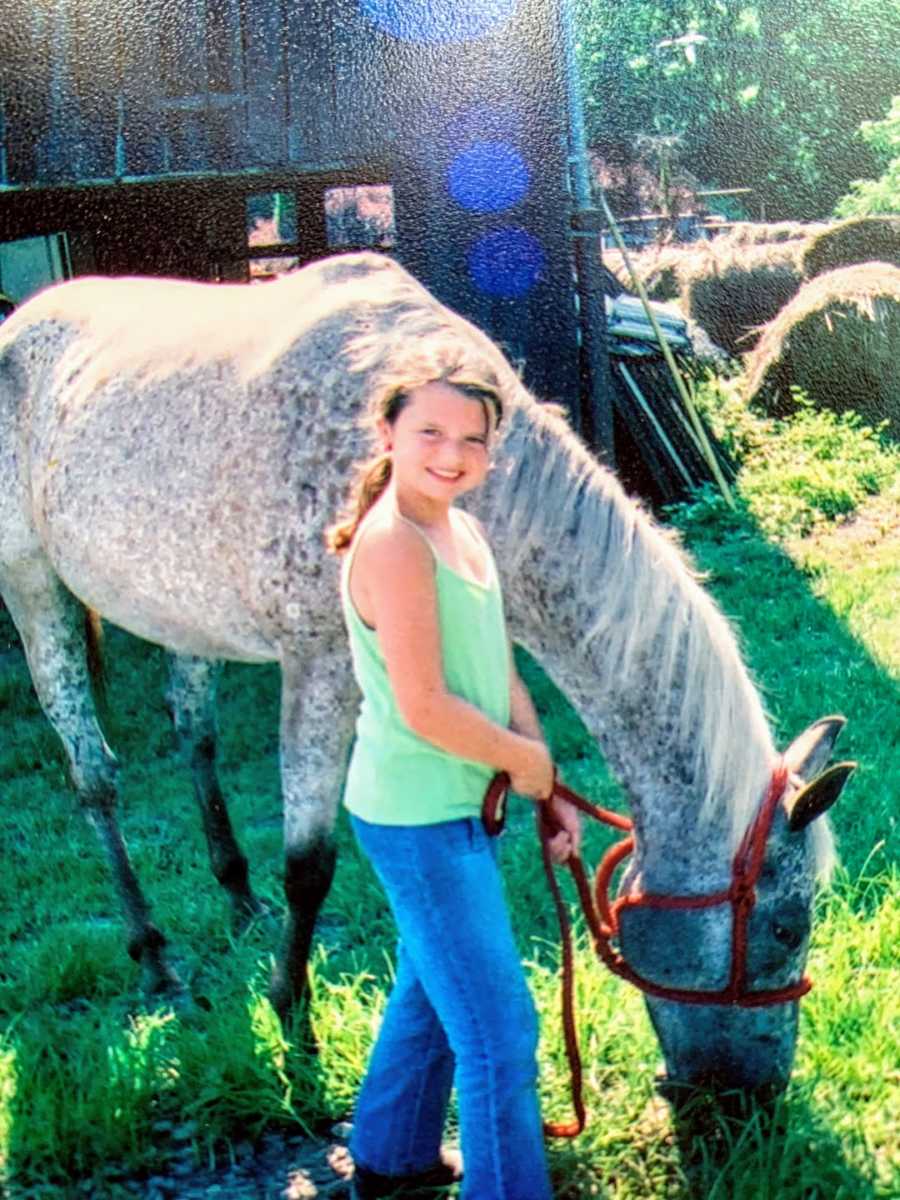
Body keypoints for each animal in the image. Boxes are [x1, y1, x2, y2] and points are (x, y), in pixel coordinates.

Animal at [0, 248, 854, 1099]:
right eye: (788, 924)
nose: (757, 1092)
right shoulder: (319, 667)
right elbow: (310, 865)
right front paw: (295, 1025)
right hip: (35, 587)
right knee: (95, 775)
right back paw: (155, 957)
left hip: (182, 613)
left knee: (193, 738)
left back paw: (239, 898)